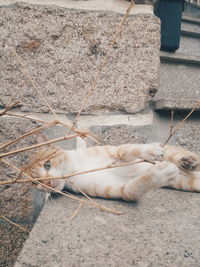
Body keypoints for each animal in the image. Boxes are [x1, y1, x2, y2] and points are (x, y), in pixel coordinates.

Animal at [26, 142, 200, 201]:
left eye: (47, 165)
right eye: (36, 183)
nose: (48, 182)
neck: (78, 168)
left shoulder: (115, 151)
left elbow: (126, 149)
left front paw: (151, 151)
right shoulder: (120, 190)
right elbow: (135, 187)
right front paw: (160, 174)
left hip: (174, 154)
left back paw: (188, 161)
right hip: (188, 183)